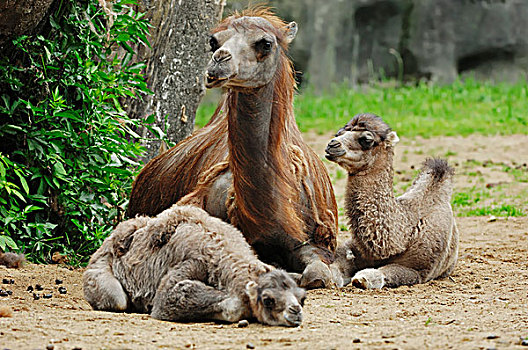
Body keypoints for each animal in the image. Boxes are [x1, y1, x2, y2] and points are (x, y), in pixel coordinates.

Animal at [82, 204, 306, 326]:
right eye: (268, 300)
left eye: (302, 298)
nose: (295, 311)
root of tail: (107, 241)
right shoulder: (193, 263)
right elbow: (170, 297)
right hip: (98, 270)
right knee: (117, 299)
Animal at [324, 113, 460, 288]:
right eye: (339, 133)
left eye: (366, 139)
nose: (332, 144)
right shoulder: (354, 248)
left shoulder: (418, 270)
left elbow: (381, 273)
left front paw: (361, 279)